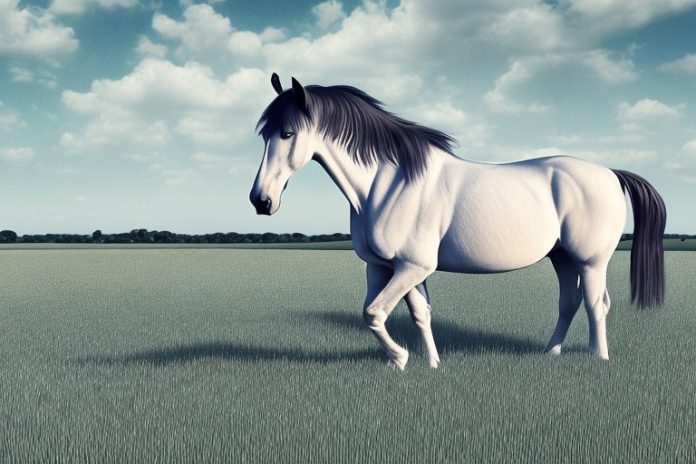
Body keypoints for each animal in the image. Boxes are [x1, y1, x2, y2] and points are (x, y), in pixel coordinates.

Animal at [250, 73, 666, 370]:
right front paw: (429, 363)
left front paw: (400, 358)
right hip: (561, 257)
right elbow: (416, 313)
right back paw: (551, 353)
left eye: (287, 133)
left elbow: (373, 313)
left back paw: (599, 359)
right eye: (265, 134)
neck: (389, 183)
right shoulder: (386, 267)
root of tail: (611, 173)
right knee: (570, 302)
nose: (260, 201)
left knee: (596, 304)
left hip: (590, 260)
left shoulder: (412, 266)